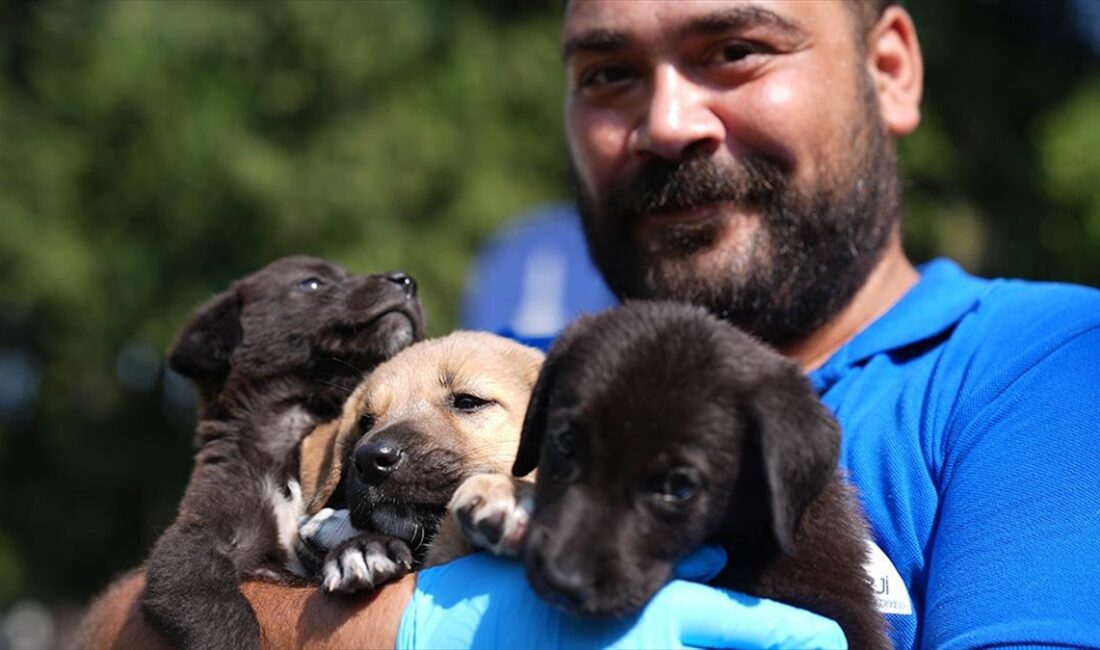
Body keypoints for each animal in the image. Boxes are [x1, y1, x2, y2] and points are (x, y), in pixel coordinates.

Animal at [139, 257, 422, 650]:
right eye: (312, 283)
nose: (407, 281)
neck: (296, 434)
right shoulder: (193, 541)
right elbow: (216, 610)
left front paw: (365, 549)